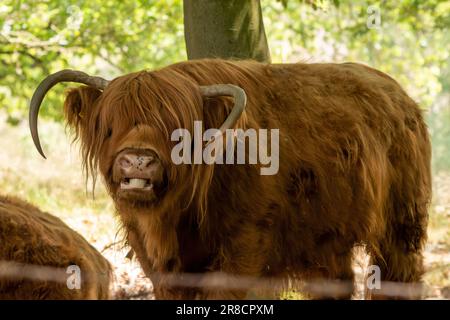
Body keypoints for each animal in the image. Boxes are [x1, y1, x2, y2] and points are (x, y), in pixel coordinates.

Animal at [29, 58, 432, 298]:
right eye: (111, 126)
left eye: (176, 130)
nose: (138, 161)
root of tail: (403, 99)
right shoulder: (154, 253)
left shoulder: (246, 240)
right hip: (327, 235)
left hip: (402, 223)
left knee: (399, 273)